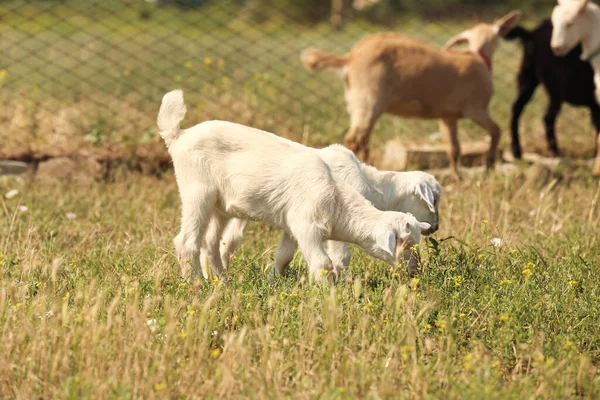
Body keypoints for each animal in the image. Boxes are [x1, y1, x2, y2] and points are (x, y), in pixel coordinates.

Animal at [158, 90, 432, 282]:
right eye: (404, 244)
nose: (415, 272)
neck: (337, 198)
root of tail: (179, 135)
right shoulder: (306, 226)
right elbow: (325, 263)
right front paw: (329, 293)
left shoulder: (292, 224)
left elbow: (284, 257)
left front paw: (274, 282)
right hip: (197, 193)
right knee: (187, 242)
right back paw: (196, 284)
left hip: (220, 206)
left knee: (211, 244)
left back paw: (222, 282)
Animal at [302, 10, 524, 178]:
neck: (478, 58)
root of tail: (350, 57)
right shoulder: (476, 108)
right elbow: (496, 130)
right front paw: (489, 166)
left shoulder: (448, 116)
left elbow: (454, 148)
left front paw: (457, 176)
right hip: (368, 99)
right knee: (355, 138)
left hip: (356, 102)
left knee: (360, 138)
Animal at [504, 19, 596, 159]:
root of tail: (532, 34)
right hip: (555, 86)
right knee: (548, 117)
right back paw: (555, 151)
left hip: (527, 79)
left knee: (516, 108)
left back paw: (517, 151)